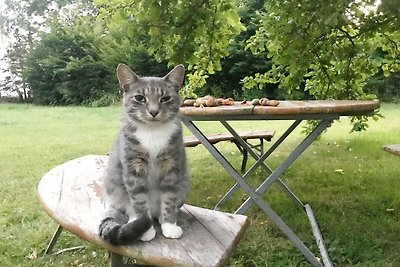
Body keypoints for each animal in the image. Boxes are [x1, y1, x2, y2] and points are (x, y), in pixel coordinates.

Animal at [98, 63, 189, 246]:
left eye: (165, 98)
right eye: (140, 98)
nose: (153, 111)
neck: (152, 131)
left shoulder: (171, 167)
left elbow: (169, 198)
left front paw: (169, 225)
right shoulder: (132, 168)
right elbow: (139, 201)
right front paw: (146, 229)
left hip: (183, 188)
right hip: (115, 189)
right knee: (129, 207)